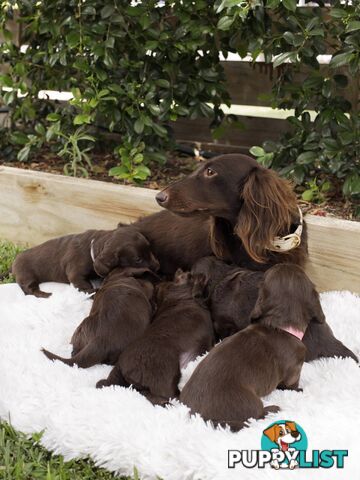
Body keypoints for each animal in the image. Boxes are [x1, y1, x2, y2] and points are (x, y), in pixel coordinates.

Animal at [11, 225, 158, 296]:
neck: (92, 249)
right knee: (29, 290)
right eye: (138, 259)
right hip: (26, 275)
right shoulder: (76, 274)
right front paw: (93, 291)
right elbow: (85, 286)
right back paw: (44, 294)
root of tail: (14, 263)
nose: (158, 266)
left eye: (150, 248)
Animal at [181, 264, 324, 434]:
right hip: (249, 401)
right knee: (255, 416)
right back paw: (272, 409)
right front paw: (298, 390)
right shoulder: (294, 371)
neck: (279, 325)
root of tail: (197, 415)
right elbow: (291, 385)